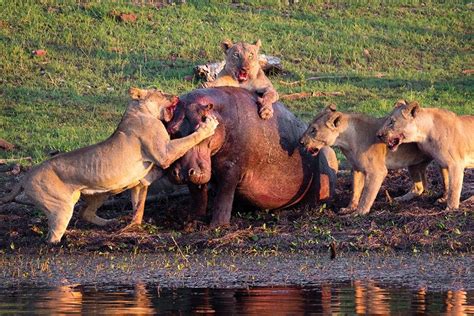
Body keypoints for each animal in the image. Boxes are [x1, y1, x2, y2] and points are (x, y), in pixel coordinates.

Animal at [0, 87, 218, 243]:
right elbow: (188, 140)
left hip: (101, 191)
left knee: (85, 212)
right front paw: (208, 126)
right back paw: (63, 242)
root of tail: (26, 176)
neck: (137, 111)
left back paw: (109, 223)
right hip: (60, 207)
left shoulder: (144, 175)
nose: (176, 96)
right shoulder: (164, 152)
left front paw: (134, 224)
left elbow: (138, 201)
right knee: (52, 235)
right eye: (159, 91)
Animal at [167, 86, 336, 227]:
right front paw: (191, 223)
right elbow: (198, 197)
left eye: (202, 125)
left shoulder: (231, 168)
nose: (182, 172)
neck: (220, 115)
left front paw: (217, 226)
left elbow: (223, 197)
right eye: (172, 130)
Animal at [300, 103, 434, 215]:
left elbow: (367, 195)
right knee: (420, 187)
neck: (346, 141)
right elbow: (355, 190)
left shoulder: (377, 171)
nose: (300, 142)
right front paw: (349, 208)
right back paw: (402, 198)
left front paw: (359, 212)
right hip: (414, 165)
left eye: (313, 130)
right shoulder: (357, 169)